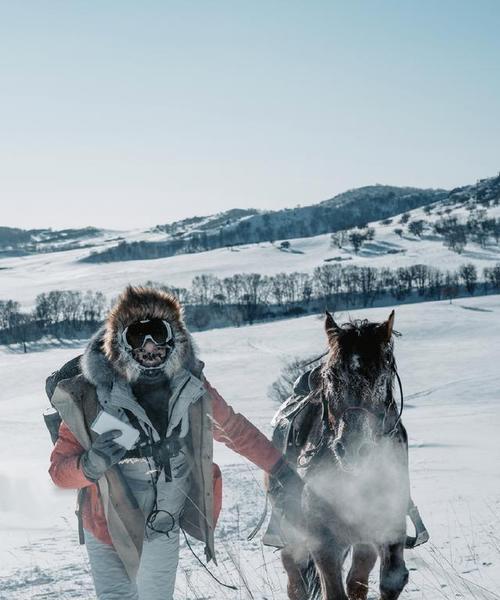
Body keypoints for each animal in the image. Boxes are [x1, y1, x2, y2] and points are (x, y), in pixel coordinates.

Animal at [270, 312, 414, 596]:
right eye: (330, 376)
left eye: (382, 377)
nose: (353, 448)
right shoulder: (324, 544)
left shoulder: (387, 530)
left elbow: (392, 579)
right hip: (292, 536)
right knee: (296, 583)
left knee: (357, 581)